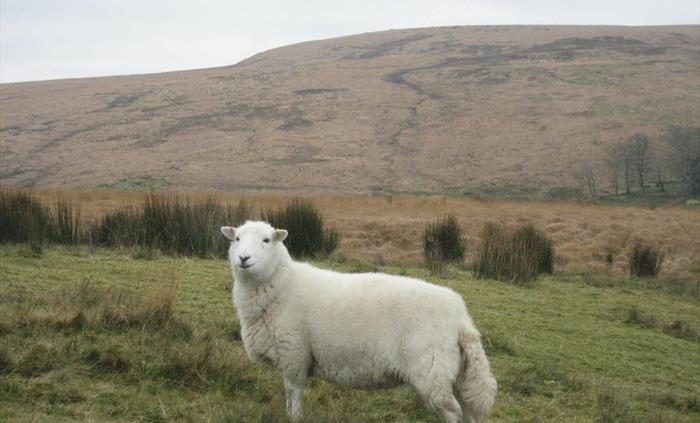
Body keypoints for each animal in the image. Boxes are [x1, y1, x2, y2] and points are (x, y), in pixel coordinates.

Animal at [221, 220, 497, 423]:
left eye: (266, 240)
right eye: (237, 239)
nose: (243, 258)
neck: (282, 286)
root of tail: (461, 319)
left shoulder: (295, 355)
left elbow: (294, 394)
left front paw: (295, 417)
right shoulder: (290, 358)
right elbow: (288, 394)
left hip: (432, 370)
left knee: (453, 412)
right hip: (457, 373)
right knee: (468, 411)